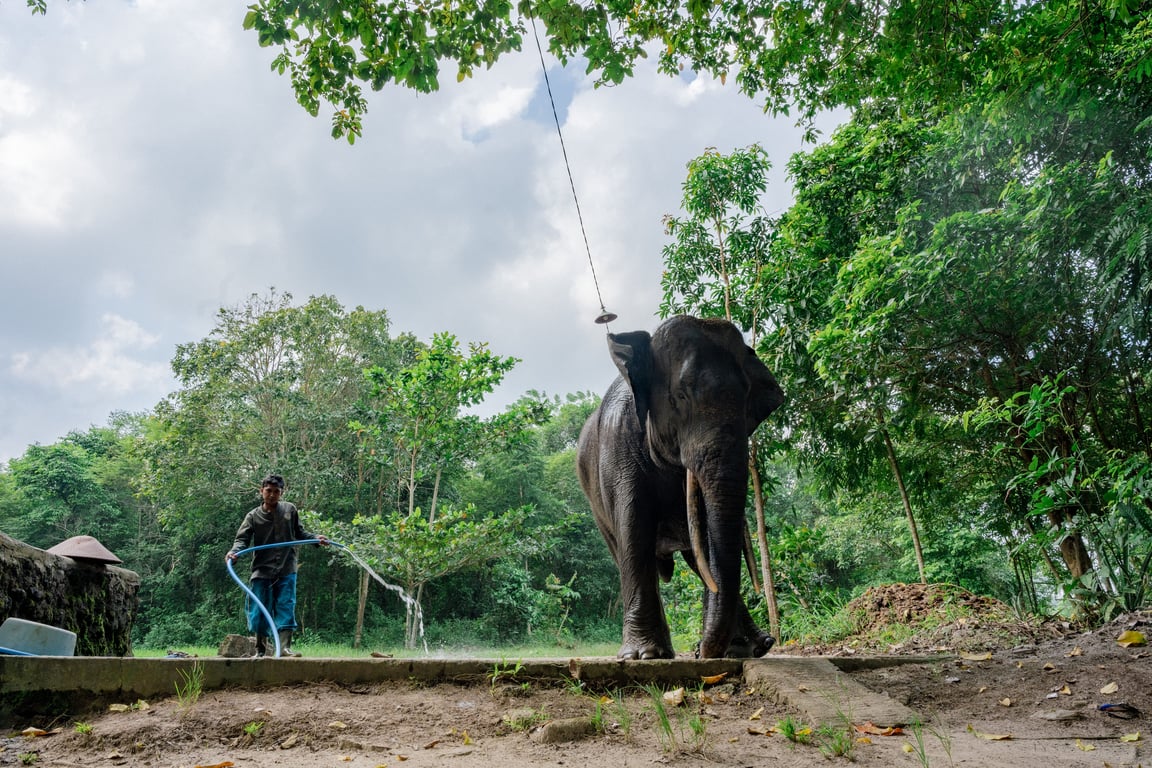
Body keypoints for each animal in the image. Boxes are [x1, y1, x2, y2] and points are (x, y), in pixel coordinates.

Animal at [576, 315, 783, 658]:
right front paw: (642, 655)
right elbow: (634, 530)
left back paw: (756, 647)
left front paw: (734, 649)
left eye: (746, 401)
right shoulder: (619, 451)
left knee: (696, 559)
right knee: (621, 549)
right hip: (594, 504)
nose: (701, 652)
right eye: (680, 398)